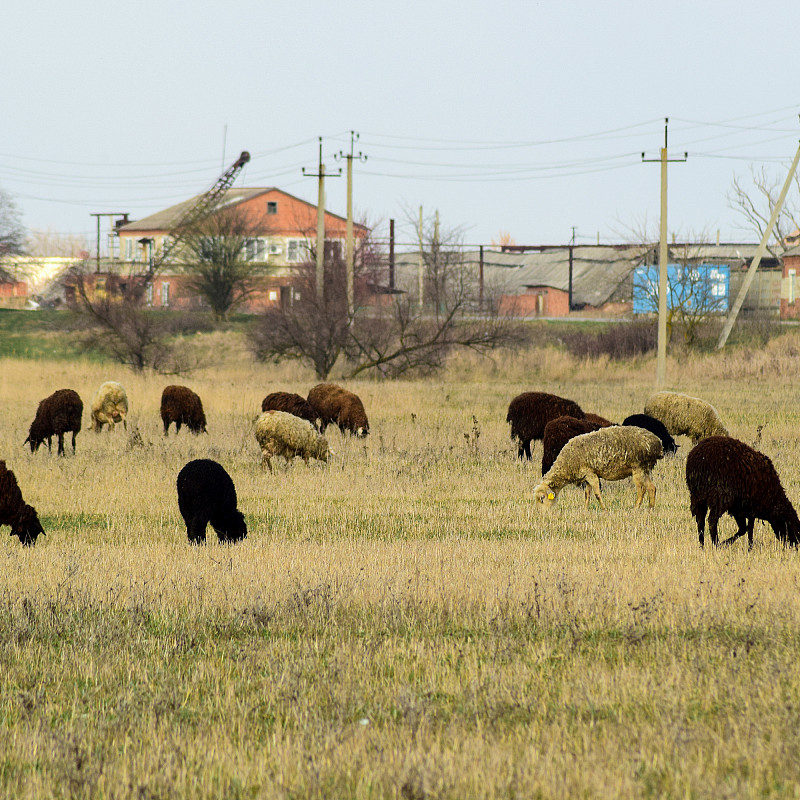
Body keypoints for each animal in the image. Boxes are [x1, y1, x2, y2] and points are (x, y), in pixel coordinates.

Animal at [536, 428, 664, 510]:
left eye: (542, 498)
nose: (542, 514)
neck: (567, 464)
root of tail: (658, 443)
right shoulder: (586, 476)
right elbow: (587, 494)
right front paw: (585, 509)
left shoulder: (591, 474)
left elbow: (597, 493)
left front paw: (604, 508)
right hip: (645, 468)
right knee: (652, 487)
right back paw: (650, 508)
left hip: (638, 467)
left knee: (642, 489)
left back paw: (636, 508)